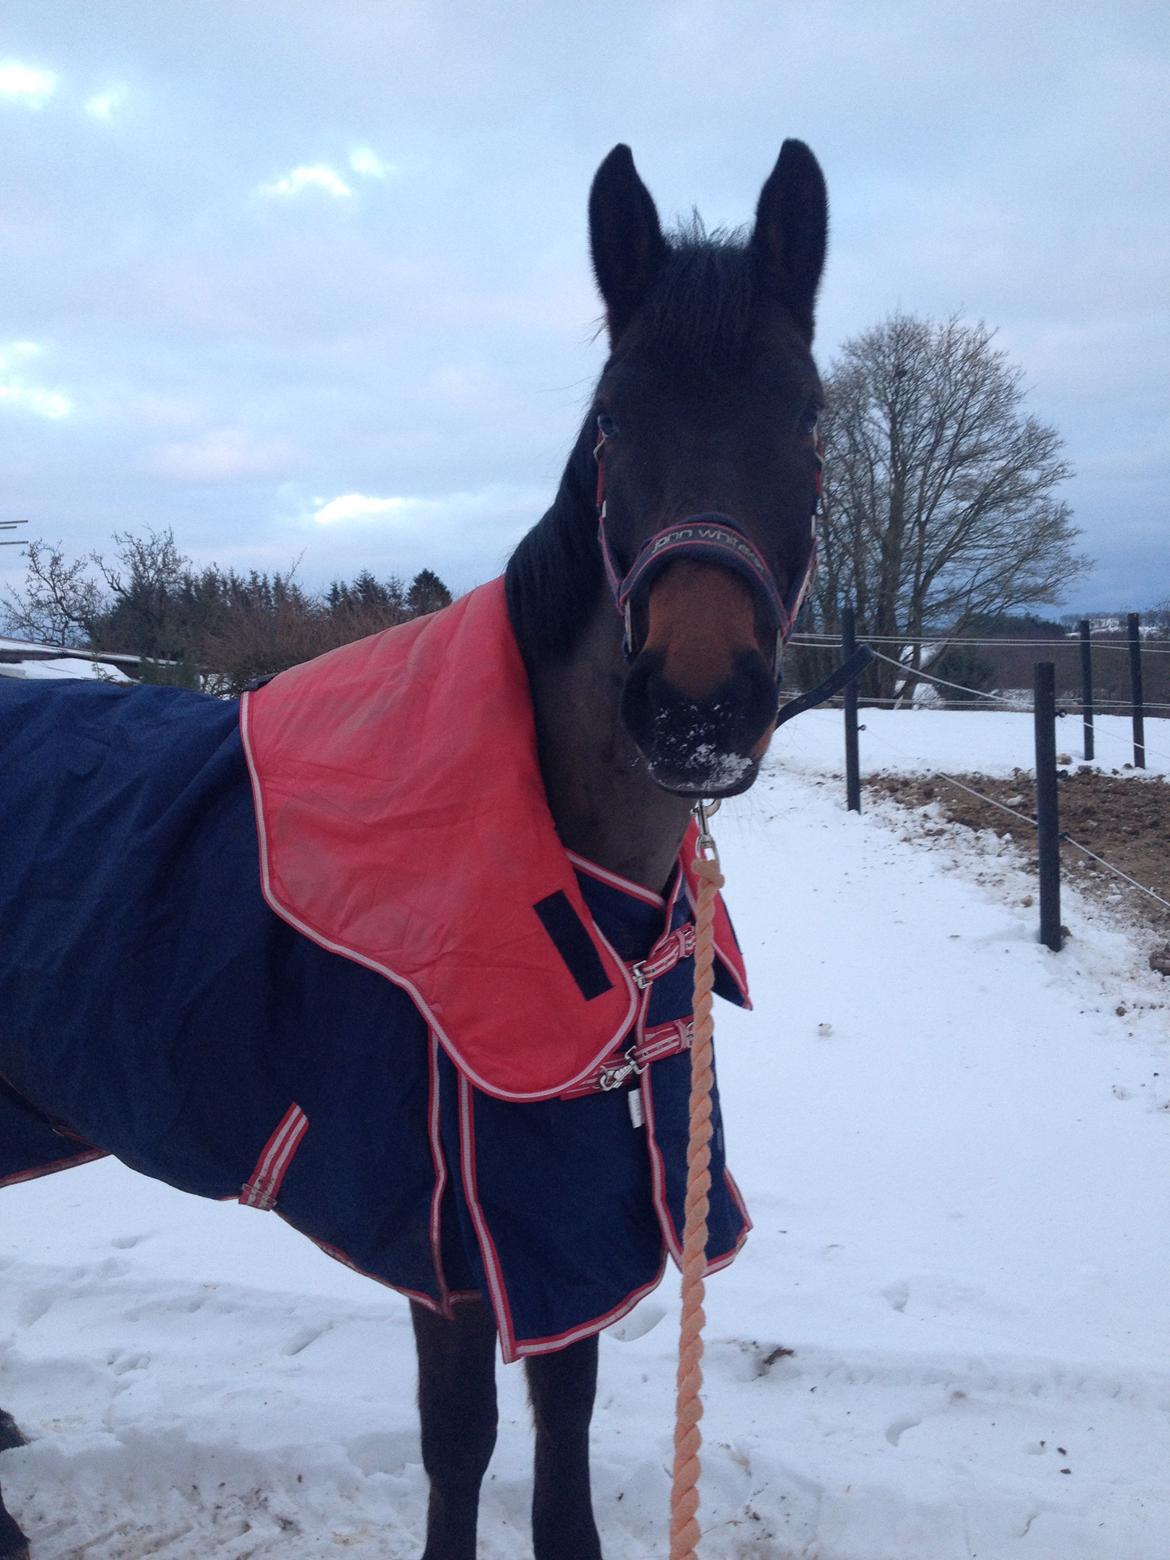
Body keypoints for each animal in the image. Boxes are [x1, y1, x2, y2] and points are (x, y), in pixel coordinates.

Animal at [0, 140, 829, 1553]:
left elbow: (560, 1460)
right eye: (615, 420)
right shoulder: (456, 1247)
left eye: (813, 417)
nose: (696, 708)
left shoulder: (571, 1224)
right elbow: (463, 1448)